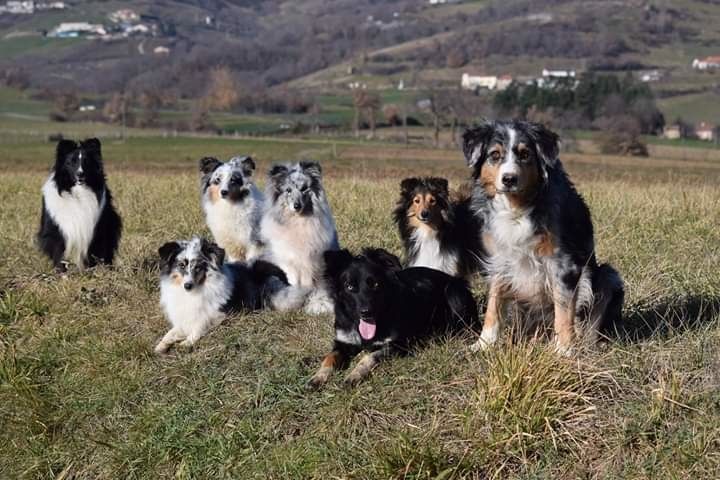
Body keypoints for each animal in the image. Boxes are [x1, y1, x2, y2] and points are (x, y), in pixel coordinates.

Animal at [308, 248, 480, 386]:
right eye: (349, 286)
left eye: (375, 284)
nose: (366, 312)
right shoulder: (343, 342)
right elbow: (329, 357)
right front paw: (318, 376)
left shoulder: (398, 344)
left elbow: (369, 356)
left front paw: (354, 374)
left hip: (454, 292)